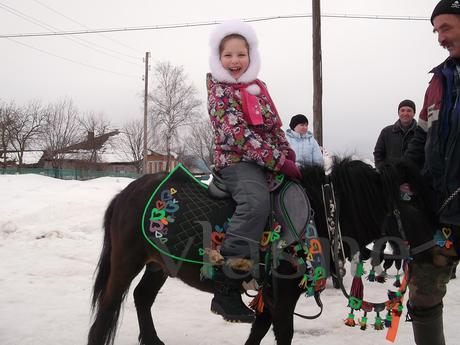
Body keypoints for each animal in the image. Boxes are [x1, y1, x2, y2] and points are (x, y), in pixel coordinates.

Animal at [86, 157, 434, 344]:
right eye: (413, 201)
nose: (437, 251)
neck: (321, 210)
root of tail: (125, 194)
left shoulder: (271, 296)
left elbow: (259, 331)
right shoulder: (284, 296)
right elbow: (283, 332)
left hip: (159, 264)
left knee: (142, 298)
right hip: (126, 261)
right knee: (108, 306)